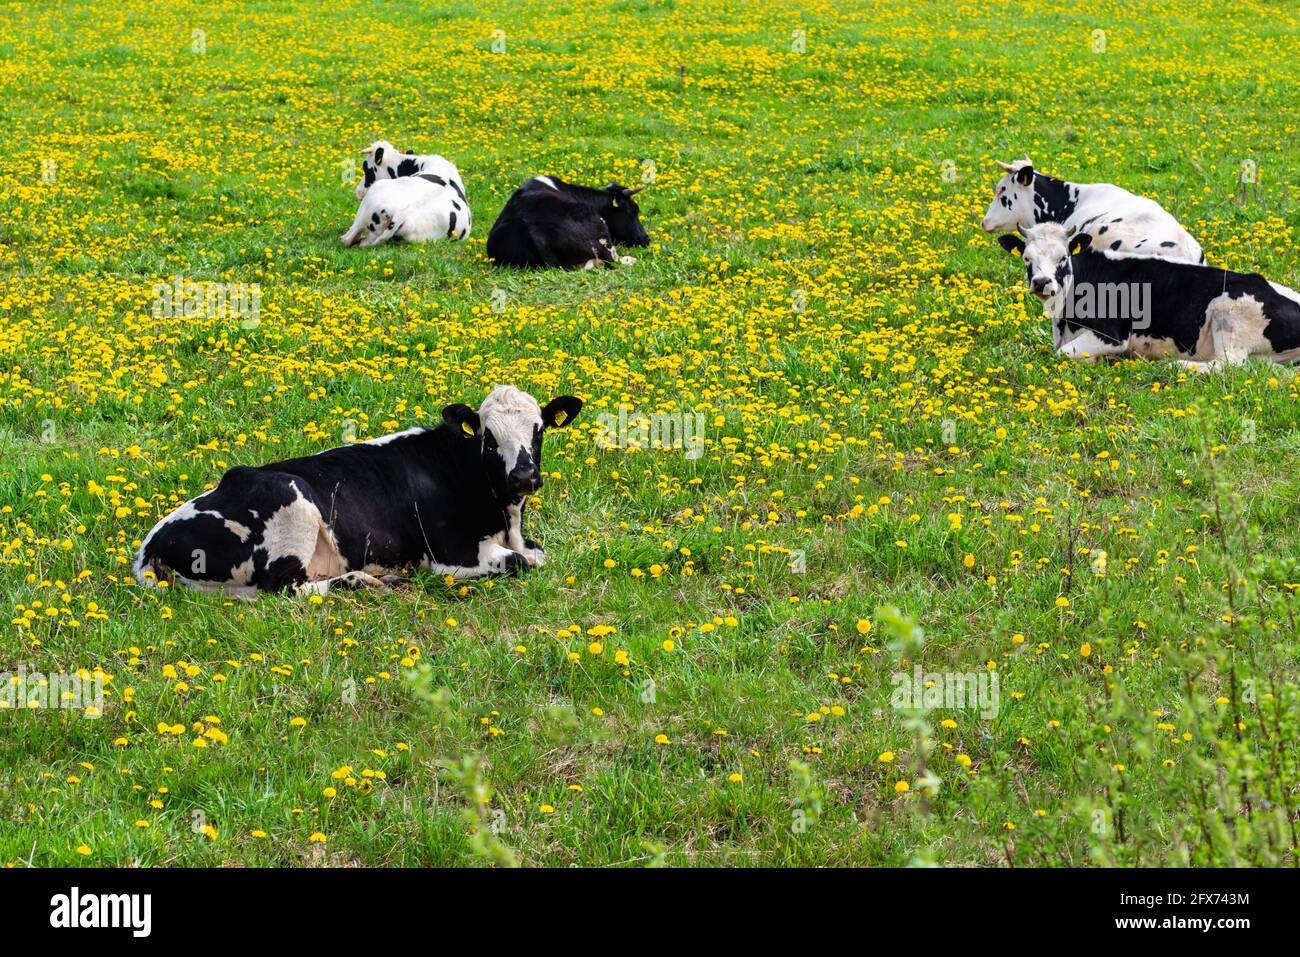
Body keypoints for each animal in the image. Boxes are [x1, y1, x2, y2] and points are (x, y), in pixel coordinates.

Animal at [133, 386, 583, 596]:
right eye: (488, 438)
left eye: (539, 430)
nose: (523, 476)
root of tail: (150, 546)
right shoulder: (450, 553)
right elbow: (522, 563)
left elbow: (536, 556)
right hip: (292, 502)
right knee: (284, 588)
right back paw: (361, 581)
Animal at [999, 223, 1300, 368]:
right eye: (1027, 258)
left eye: (1062, 257)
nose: (1041, 282)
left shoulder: (1112, 335)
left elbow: (1063, 353)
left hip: (1230, 314)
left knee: (1228, 366)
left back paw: (1176, 365)